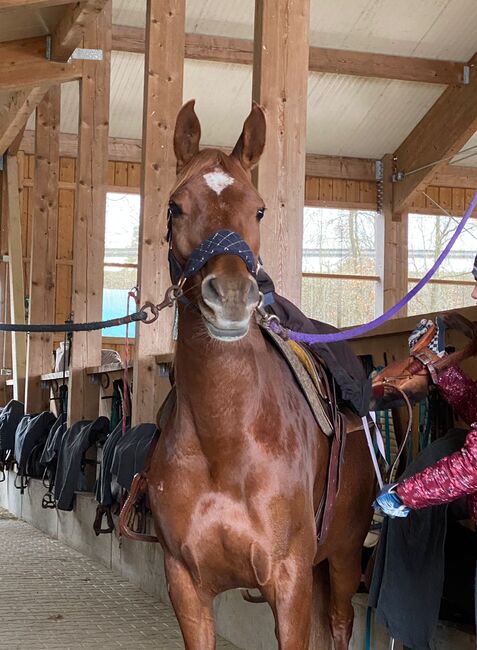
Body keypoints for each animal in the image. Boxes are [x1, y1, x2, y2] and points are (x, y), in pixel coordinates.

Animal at [143, 101, 374, 648]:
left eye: (260, 209)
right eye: (175, 207)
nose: (229, 296)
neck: (225, 441)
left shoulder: (289, 584)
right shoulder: (186, 587)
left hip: (344, 556)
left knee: (339, 623)